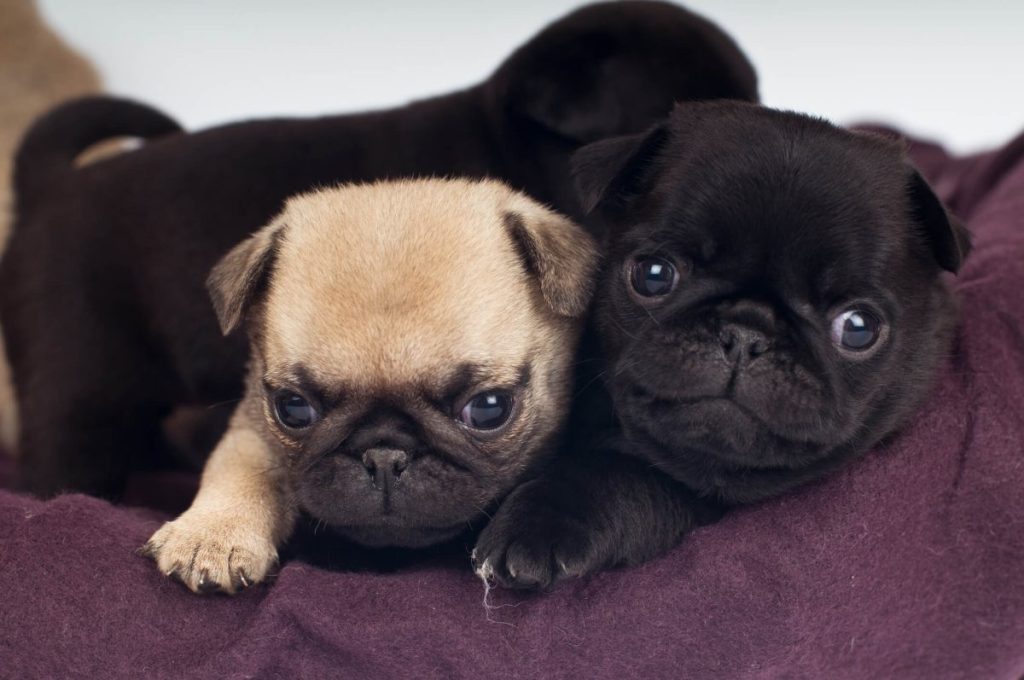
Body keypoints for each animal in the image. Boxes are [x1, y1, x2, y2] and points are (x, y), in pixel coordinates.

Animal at [140, 178, 598, 593]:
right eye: (293, 408)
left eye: (489, 408)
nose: (383, 456)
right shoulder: (252, 424)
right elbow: (241, 468)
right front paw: (212, 534)